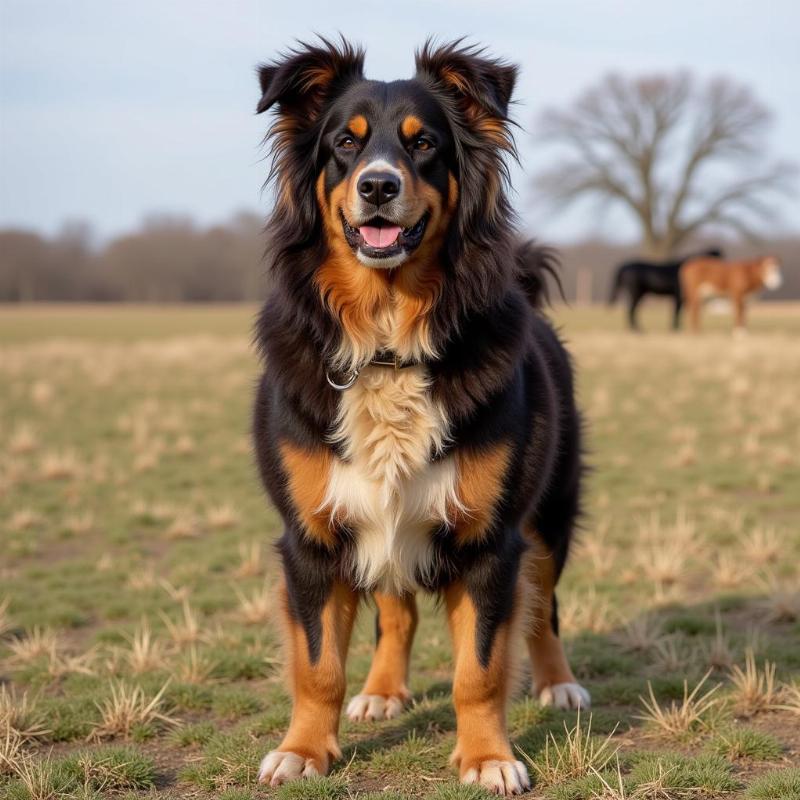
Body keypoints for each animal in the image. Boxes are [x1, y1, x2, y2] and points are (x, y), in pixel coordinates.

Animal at [253, 37, 592, 792]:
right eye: (344, 146)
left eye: (425, 143)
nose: (378, 186)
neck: (387, 343)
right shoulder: (313, 534)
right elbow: (317, 664)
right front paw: (304, 750)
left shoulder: (491, 537)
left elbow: (481, 667)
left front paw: (489, 758)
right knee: (396, 608)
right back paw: (382, 690)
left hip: (550, 514)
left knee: (544, 609)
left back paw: (558, 683)